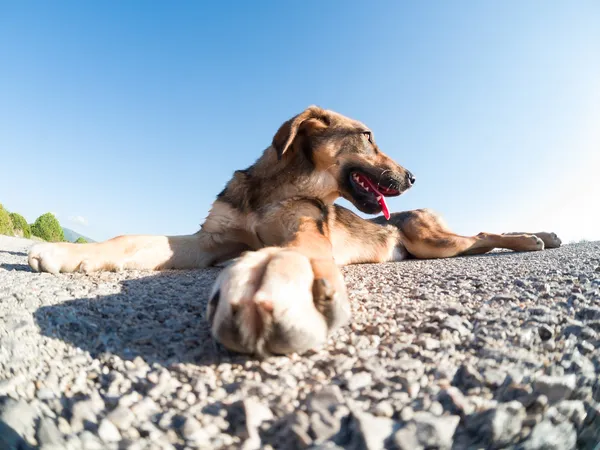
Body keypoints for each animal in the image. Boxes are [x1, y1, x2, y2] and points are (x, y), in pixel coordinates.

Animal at [28, 107, 564, 356]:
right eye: (369, 136)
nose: (413, 177)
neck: (278, 189)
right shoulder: (208, 242)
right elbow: (134, 240)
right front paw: (63, 252)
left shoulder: (305, 229)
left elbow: (296, 252)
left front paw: (272, 273)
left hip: (431, 241)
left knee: (483, 234)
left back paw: (538, 238)